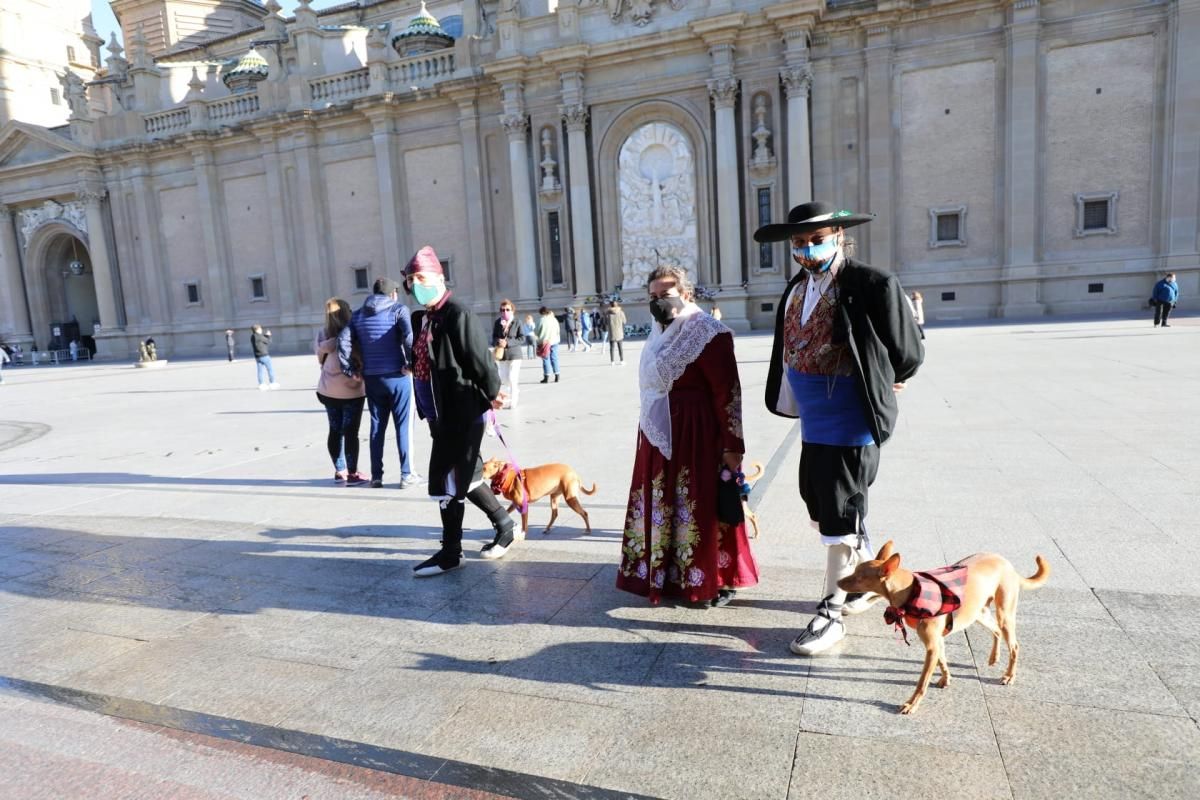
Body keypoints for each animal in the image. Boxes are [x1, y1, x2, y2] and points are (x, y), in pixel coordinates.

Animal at [835, 542, 1051, 714]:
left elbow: (922, 681)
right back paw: (993, 658)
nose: (837, 581)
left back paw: (1009, 676)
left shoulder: (932, 646)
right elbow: (942, 662)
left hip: (1004, 613)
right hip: (978, 613)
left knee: (1014, 645)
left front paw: (912, 704)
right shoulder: (937, 643)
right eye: (854, 571)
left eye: (858, 577)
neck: (911, 591)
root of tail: (1009, 565)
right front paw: (946, 679)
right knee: (996, 631)